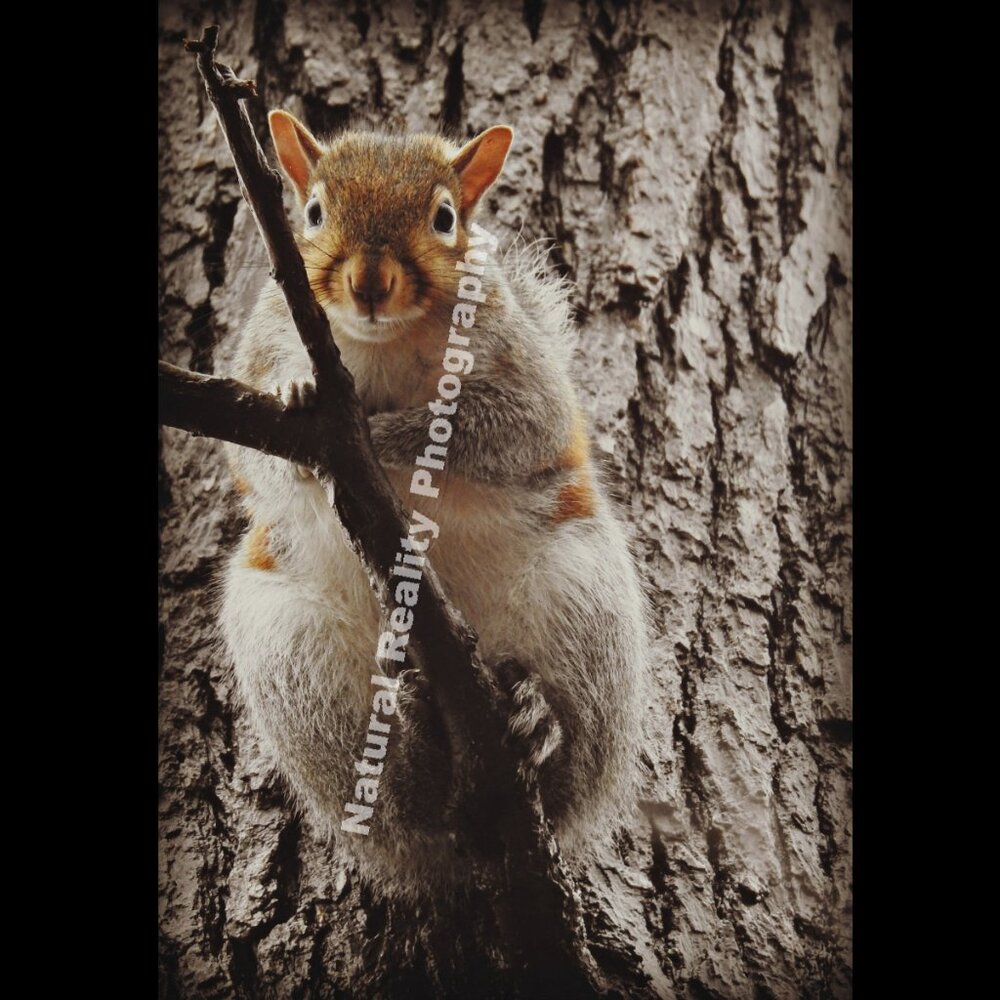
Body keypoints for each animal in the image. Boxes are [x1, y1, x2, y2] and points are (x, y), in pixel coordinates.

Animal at [219, 110, 650, 898]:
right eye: (314, 212)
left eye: (445, 218)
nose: (369, 283)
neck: (381, 344)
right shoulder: (261, 349)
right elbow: (253, 454)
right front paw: (301, 396)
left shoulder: (519, 373)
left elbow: (519, 423)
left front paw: (384, 436)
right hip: (291, 651)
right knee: (392, 803)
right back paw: (414, 751)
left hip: (584, 596)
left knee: (571, 767)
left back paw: (540, 727)